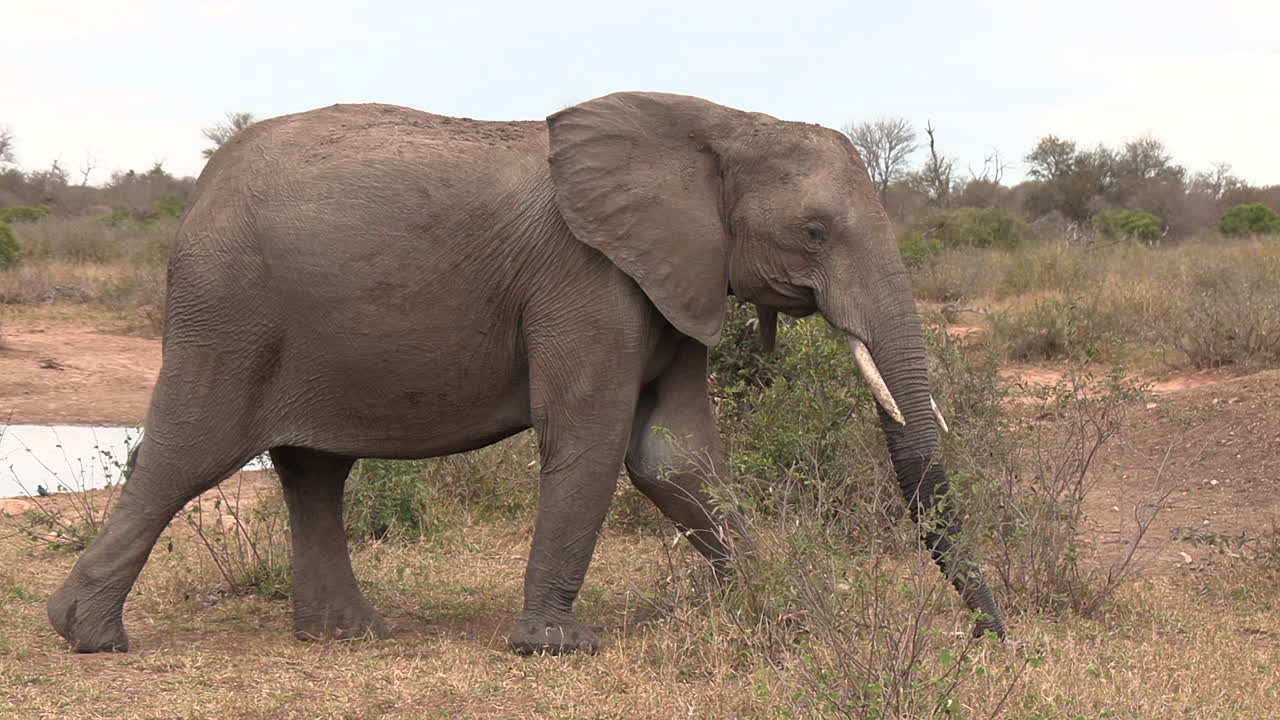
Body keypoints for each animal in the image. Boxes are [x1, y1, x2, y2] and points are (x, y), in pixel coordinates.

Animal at [47, 92, 1007, 655]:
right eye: (813, 232)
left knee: (314, 470)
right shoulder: (586, 278)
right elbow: (591, 437)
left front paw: (793, 609)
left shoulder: (673, 275)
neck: (715, 123)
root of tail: (197, 193)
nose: (987, 635)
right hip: (229, 313)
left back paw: (352, 635)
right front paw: (557, 646)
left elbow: (674, 455)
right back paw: (88, 637)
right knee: (188, 453)